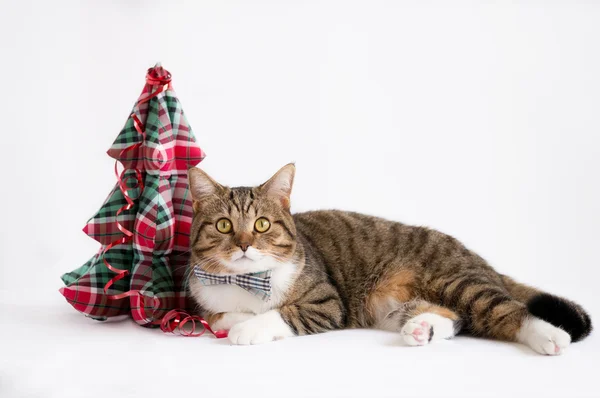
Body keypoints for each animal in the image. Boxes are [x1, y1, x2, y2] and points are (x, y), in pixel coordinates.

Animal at [186, 163, 592, 352]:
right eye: (224, 225)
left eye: (262, 224)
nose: (243, 244)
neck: (244, 282)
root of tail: (479, 260)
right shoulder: (205, 296)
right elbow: (218, 313)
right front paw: (233, 319)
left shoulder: (327, 302)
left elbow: (281, 313)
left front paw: (247, 327)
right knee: (458, 317)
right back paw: (424, 328)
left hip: (456, 280)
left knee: (508, 311)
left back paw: (549, 335)